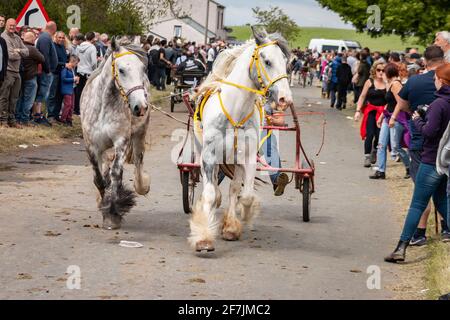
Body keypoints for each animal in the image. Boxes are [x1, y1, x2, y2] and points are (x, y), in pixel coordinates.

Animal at [188, 26, 294, 252]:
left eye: (285, 61)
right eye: (267, 61)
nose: (285, 99)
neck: (235, 112)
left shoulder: (247, 157)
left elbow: (245, 196)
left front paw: (239, 220)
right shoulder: (209, 156)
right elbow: (210, 193)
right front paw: (203, 238)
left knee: (234, 188)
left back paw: (229, 225)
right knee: (214, 187)